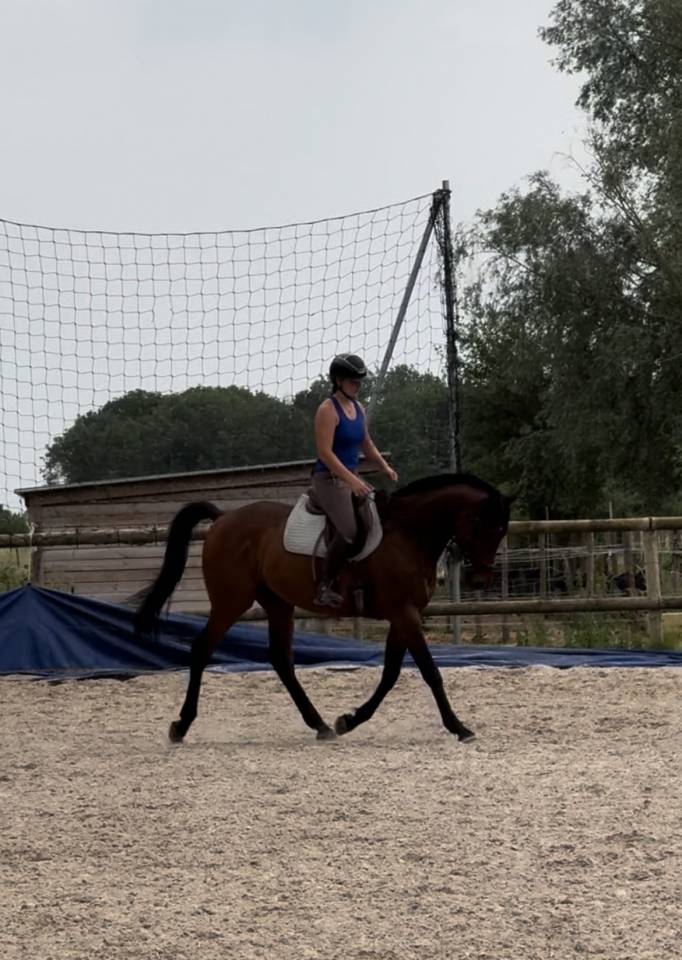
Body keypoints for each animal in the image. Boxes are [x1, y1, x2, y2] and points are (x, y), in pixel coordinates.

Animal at [135, 473, 512, 744]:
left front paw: (349, 720)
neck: (409, 533)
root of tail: (224, 517)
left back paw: (319, 725)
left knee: (281, 660)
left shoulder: (402, 616)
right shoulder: (405, 614)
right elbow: (430, 672)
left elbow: (390, 674)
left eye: (501, 530)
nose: (480, 579)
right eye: (485, 526)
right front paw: (459, 727)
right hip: (231, 601)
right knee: (202, 649)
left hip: (278, 604)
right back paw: (181, 725)